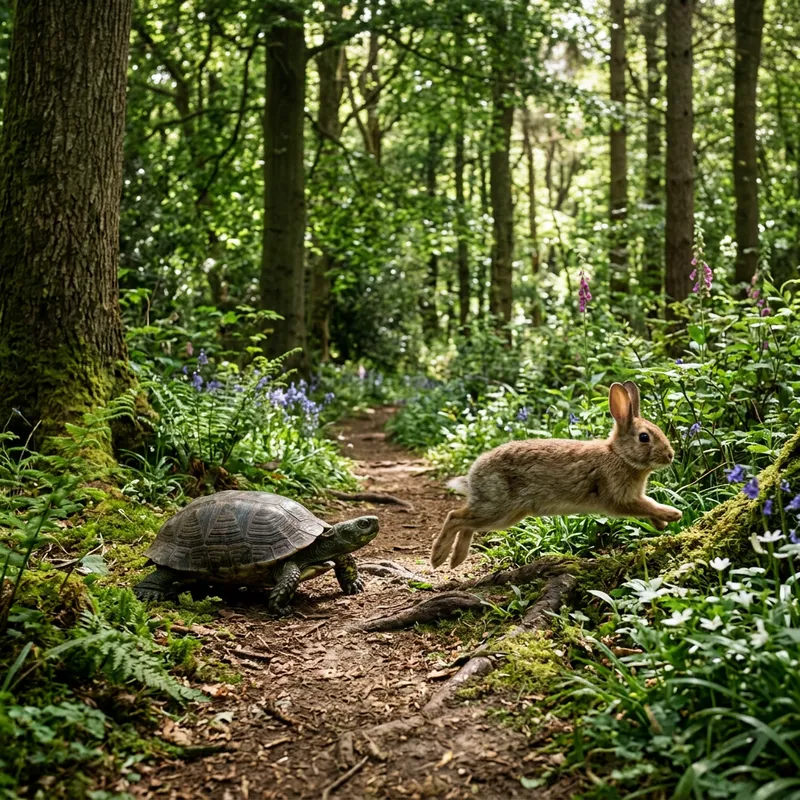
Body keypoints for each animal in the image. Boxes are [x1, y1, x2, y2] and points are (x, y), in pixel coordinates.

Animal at [430, 381, 682, 569]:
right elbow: (647, 505)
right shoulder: (620, 498)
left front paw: (661, 524)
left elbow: (648, 504)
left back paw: (456, 559)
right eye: (644, 437)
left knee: (466, 523)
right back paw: (438, 557)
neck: (619, 455)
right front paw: (673, 514)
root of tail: (473, 474)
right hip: (497, 509)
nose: (670, 455)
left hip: (507, 516)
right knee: (455, 516)